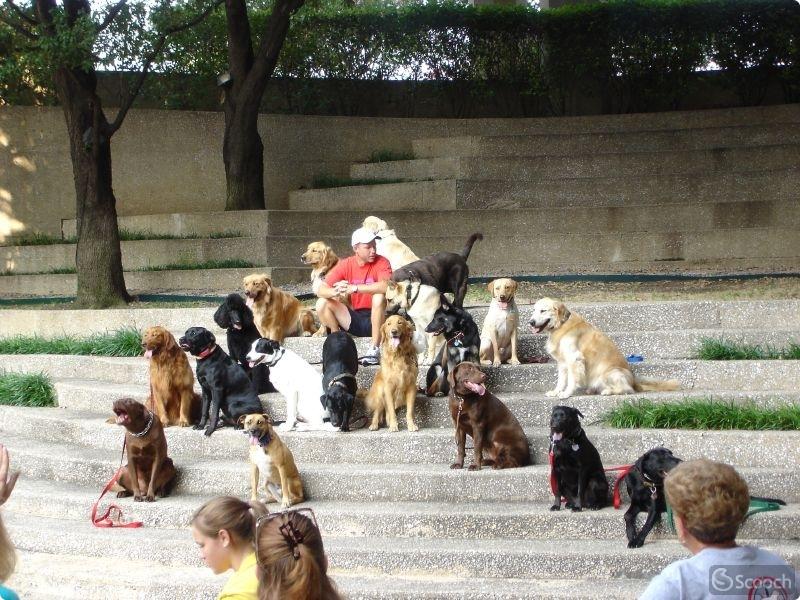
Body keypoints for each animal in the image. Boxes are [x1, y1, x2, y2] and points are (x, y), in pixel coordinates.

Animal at [528, 298, 680, 400]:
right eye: (534, 310)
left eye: (543, 311)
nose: (531, 322)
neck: (561, 325)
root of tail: (634, 381)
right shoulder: (563, 362)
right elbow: (561, 381)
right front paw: (556, 391)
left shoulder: (574, 359)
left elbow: (571, 380)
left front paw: (566, 393)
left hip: (611, 373)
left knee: (627, 389)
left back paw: (608, 391)